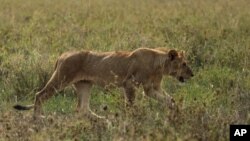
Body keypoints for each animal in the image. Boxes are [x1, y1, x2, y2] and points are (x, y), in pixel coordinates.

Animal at [13, 47, 193, 119]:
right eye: (184, 64)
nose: (192, 74)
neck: (159, 64)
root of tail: (62, 55)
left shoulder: (151, 88)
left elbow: (169, 99)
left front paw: (177, 111)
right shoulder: (130, 83)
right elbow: (131, 104)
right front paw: (134, 118)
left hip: (85, 84)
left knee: (83, 109)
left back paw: (104, 120)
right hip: (61, 79)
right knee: (40, 95)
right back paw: (38, 118)